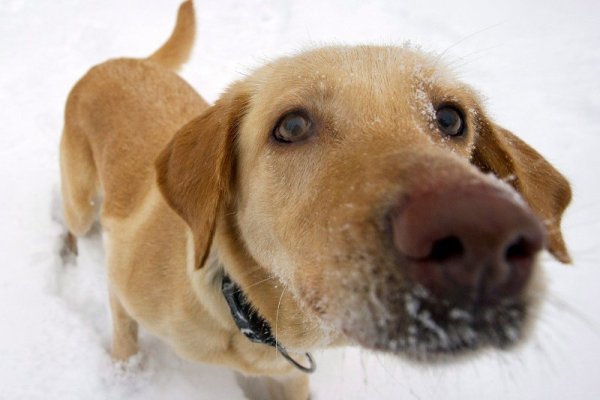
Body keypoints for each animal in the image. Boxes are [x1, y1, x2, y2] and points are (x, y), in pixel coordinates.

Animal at [59, 1, 572, 398]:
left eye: (450, 119)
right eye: (291, 126)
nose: (482, 230)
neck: (247, 315)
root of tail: (126, 60)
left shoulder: (288, 379)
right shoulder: (121, 286)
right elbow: (125, 340)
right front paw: (125, 378)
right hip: (81, 201)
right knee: (72, 221)